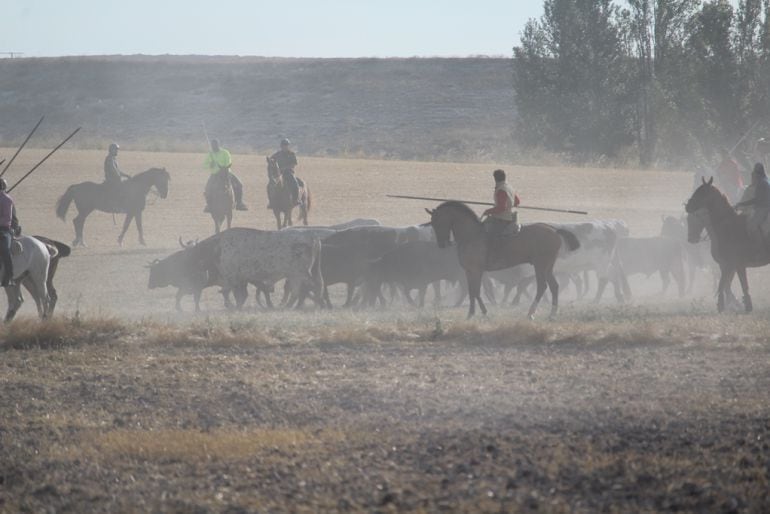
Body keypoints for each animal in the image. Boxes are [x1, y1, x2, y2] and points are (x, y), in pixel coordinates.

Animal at [424, 199, 580, 316]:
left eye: (438, 222)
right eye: (432, 223)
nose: (442, 244)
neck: (471, 235)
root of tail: (554, 230)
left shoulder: (476, 270)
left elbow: (476, 291)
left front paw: (480, 313)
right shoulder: (469, 272)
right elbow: (472, 291)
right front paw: (474, 313)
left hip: (540, 265)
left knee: (542, 286)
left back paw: (531, 313)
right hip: (547, 266)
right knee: (554, 286)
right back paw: (552, 314)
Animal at [684, 176, 768, 312]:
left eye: (702, 192)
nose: (688, 206)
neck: (728, 226)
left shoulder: (736, 265)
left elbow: (739, 284)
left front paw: (743, 305)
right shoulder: (727, 265)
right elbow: (724, 284)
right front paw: (725, 304)